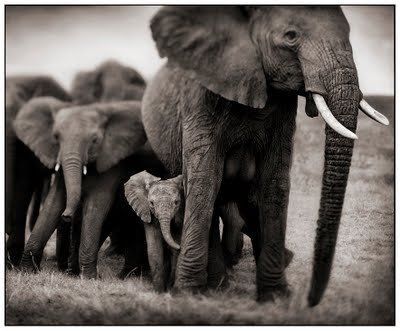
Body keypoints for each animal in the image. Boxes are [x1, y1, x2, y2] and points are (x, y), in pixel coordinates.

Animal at [15, 97, 153, 278]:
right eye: (56, 137)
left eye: (94, 140)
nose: (67, 216)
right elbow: (54, 202)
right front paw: (27, 271)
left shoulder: (111, 160)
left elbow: (96, 205)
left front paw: (89, 278)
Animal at [142, 5, 390, 308]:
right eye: (291, 36)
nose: (311, 301)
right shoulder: (199, 99)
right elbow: (204, 180)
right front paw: (188, 294)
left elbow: (274, 182)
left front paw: (275, 296)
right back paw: (217, 285)